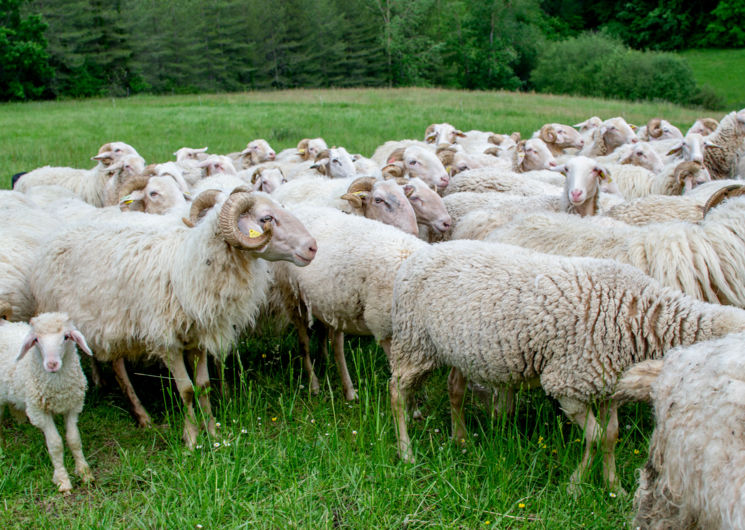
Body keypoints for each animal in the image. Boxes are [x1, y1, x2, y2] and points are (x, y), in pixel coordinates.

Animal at [30, 188, 316, 444]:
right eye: (266, 218)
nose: (313, 247)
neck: (191, 266)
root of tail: (60, 233)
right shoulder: (166, 341)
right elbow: (186, 390)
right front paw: (191, 438)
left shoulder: (199, 337)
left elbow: (203, 385)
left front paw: (213, 432)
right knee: (117, 367)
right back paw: (142, 415)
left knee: (115, 361)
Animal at [274, 204, 428, 398]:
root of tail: (298, 207)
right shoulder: (384, 327)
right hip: (293, 297)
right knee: (304, 344)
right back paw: (314, 384)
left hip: (333, 301)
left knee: (335, 343)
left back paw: (346, 387)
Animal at [386, 239, 744, 490]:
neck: (643, 317)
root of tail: (415, 259)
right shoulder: (568, 383)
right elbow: (595, 438)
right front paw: (577, 484)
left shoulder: (609, 385)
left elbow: (611, 435)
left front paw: (613, 487)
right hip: (414, 340)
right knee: (396, 391)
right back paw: (406, 452)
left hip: (458, 348)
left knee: (454, 389)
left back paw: (460, 439)